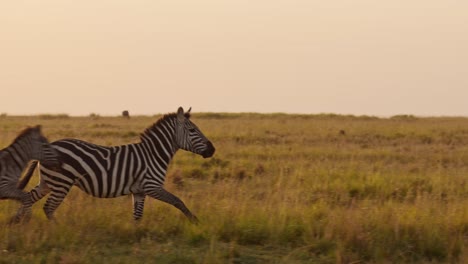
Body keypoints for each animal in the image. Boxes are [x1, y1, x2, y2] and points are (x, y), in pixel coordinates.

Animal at [14, 106, 216, 223]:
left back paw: (15, 223)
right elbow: (177, 201)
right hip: (61, 183)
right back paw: (57, 229)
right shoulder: (152, 186)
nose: (212, 150)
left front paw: (136, 238)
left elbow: (137, 216)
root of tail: (45, 148)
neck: (153, 154)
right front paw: (195, 221)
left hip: (48, 182)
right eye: (192, 130)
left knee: (28, 198)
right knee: (48, 208)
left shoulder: (139, 191)